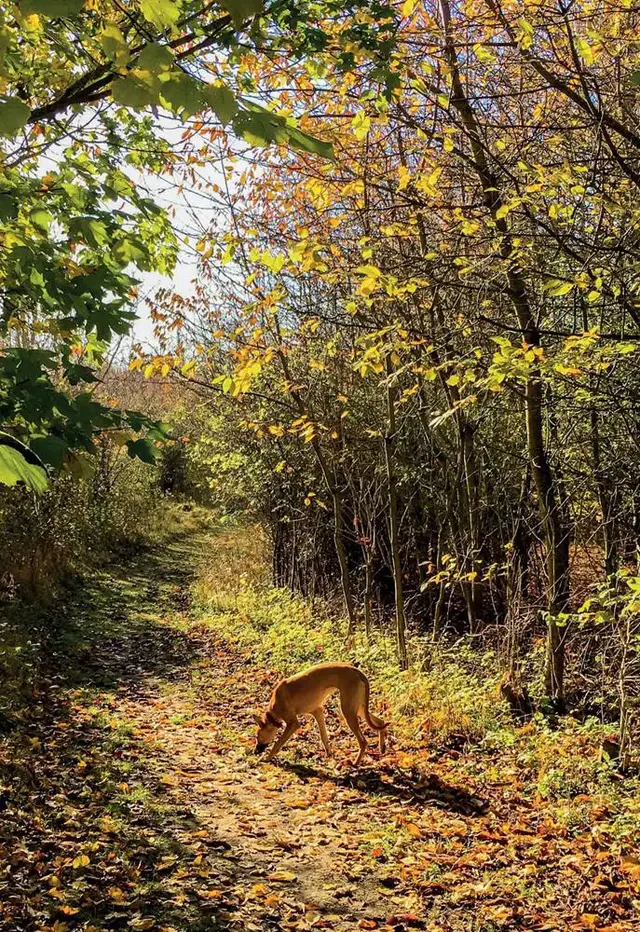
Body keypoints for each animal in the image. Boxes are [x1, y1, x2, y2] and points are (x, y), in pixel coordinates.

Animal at [252, 664, 388, 764]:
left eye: (258, 736)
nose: (255, 752)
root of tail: (356, 671)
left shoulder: (293, 724)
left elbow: (278, 743)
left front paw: (267, 757)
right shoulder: (317, 711)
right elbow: (324, 737)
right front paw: (329, 754)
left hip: (348, 711)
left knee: (363, 741)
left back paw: (355, 763)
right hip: (357, 708)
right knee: (381, 722)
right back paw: (382, 747)